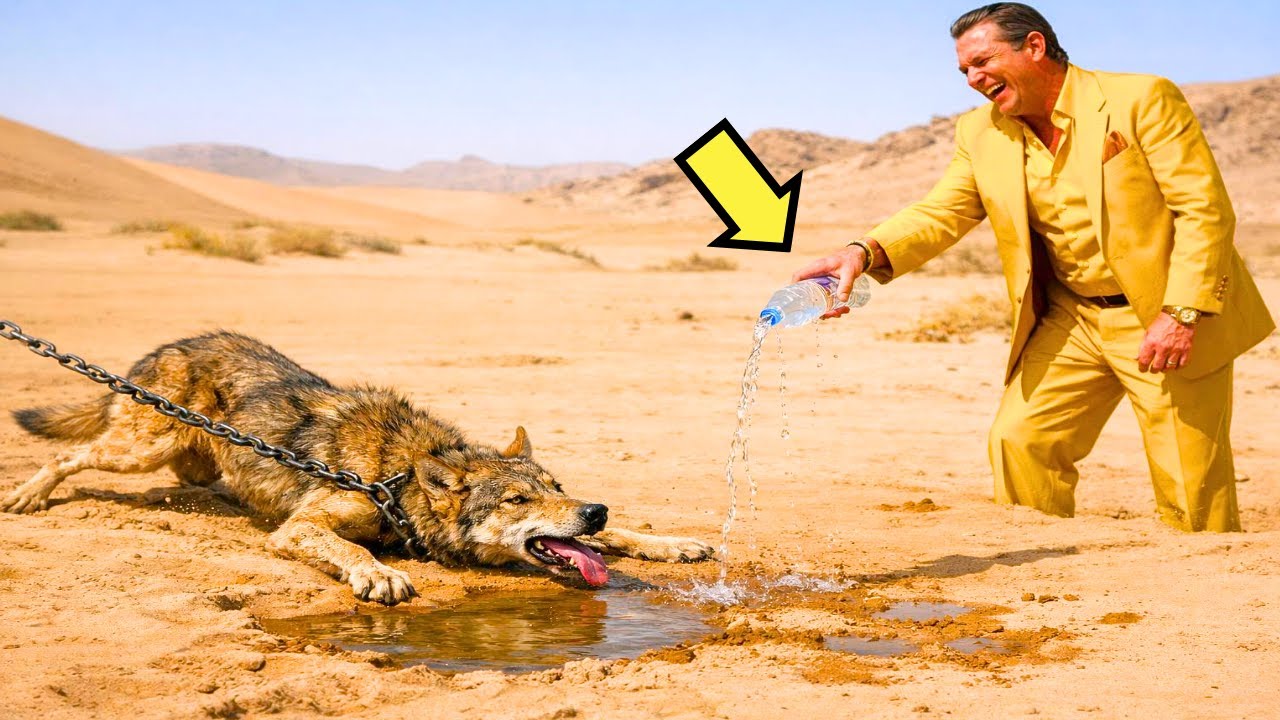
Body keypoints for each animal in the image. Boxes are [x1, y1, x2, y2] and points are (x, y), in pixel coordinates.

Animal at [3, 332, 714, 604]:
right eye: (516, 501)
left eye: (557, 489)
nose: (591, 510)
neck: (396, 481)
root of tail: (167, 347)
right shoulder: (303, 529)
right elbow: (353, 549)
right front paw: (381, 575)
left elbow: (626, 536)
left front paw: (675, 543)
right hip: (139, 448)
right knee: (68, 454)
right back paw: (27, 497)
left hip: (187, 458)